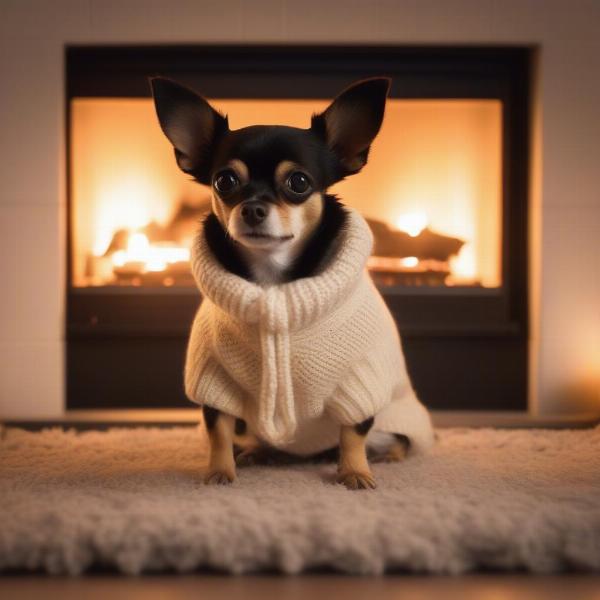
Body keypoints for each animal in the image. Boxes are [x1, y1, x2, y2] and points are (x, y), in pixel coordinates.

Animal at [150, 76, 432, 488]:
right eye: (224, 181)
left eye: (298, 182)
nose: (252, 207)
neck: (273, 284)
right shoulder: (215, 384)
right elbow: (218, 431)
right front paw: (220, 470)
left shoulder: (360, 382)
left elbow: (354, 432)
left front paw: (355, 472)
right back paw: (258, 452)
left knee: (390, 438)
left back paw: (386, 456)